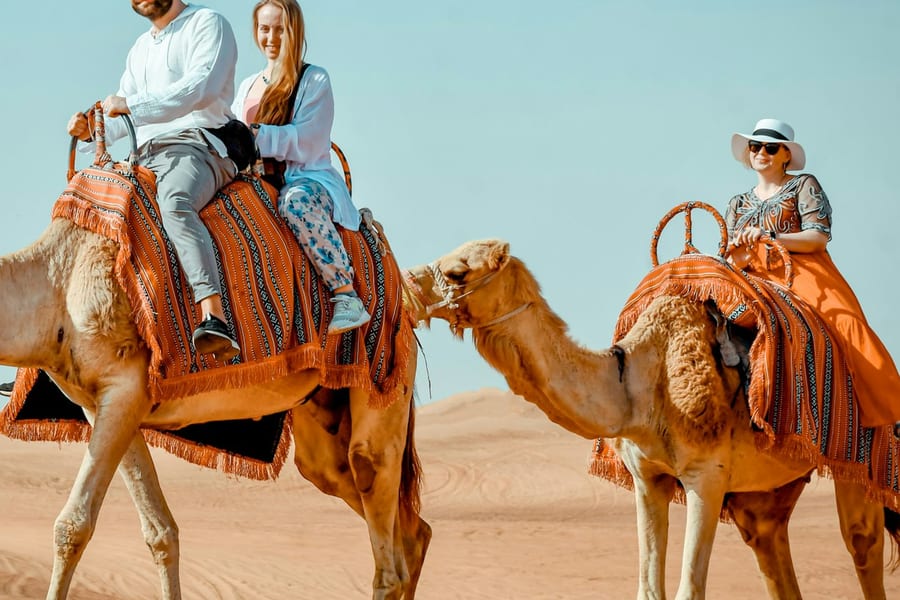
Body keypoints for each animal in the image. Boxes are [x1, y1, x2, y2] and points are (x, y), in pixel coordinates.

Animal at [0, 216, 431, 599]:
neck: (60, 281)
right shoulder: (103, 405)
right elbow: (161, 532)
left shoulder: (124, 390)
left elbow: (72, 526)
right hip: (325, 429)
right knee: (407, 531)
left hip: (384, 380)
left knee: (382, 532)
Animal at [404, 238, 900, 600]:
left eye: (458, 271)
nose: (409, 286)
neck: (636, 383)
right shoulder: (647, 478)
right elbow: (648, 590)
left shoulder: (707, 476)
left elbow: (688, 591)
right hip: (766, 491)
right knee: (770, 544)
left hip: (862, 459)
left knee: (862, 543)